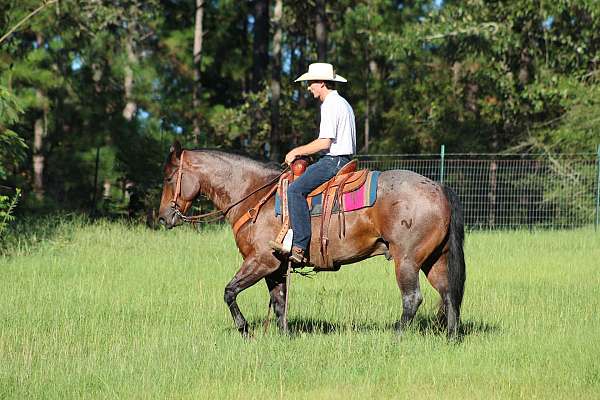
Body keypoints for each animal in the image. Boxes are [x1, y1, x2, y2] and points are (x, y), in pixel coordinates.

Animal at [158, 142, 464, 340]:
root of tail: (438, 187)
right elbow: (279, 302)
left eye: (170, 177)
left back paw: (396, 336)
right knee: (449, 294)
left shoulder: (261, 260)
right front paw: (283, 337)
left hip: (407, 260)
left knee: (412, 299)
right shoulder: (276, 267)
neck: (253, 195)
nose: (163, 217)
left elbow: (229, 292)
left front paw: (245, 330)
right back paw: (450, 339)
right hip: (435, 260)